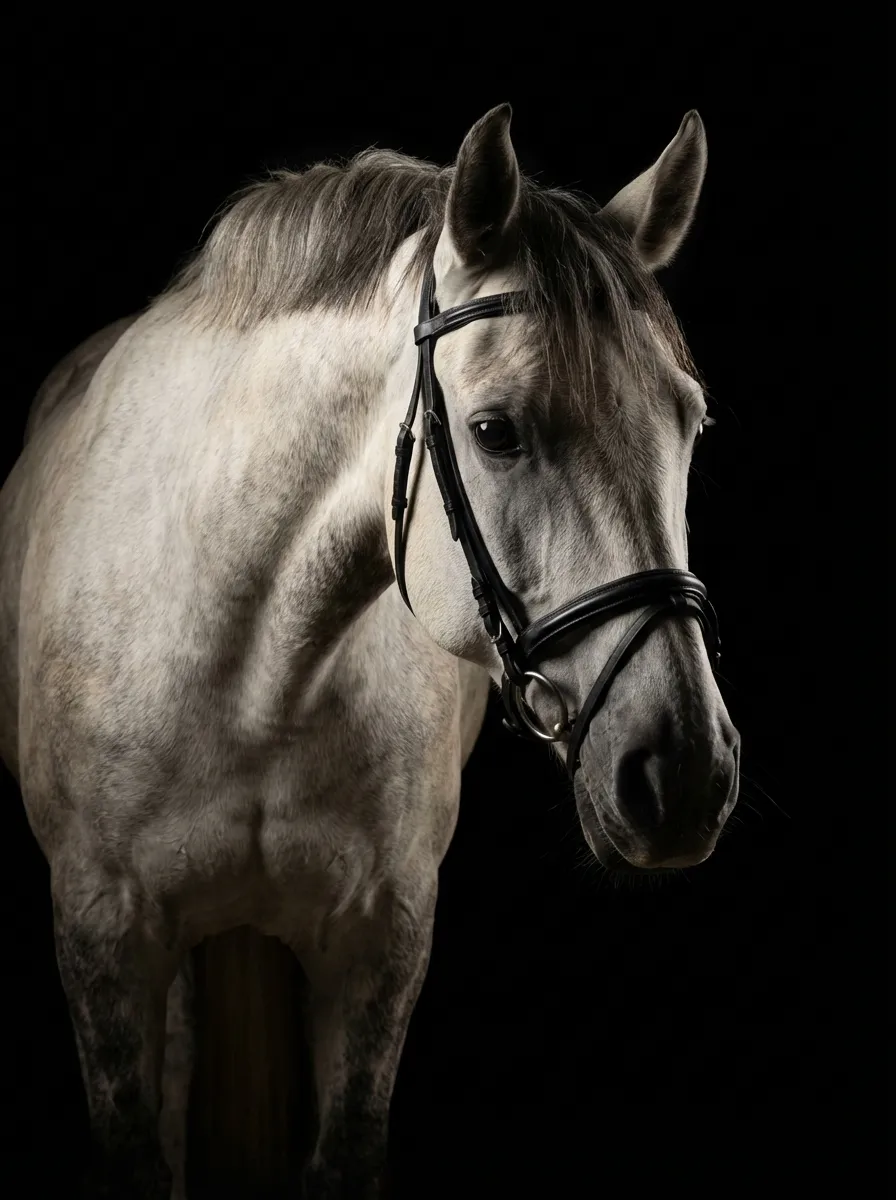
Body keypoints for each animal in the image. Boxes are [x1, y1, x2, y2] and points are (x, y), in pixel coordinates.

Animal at [0, 104, 740, 1198]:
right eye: (495, 430)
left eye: (689, 422)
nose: (685, 776)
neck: (256, 677)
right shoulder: (103, 933)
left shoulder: (380, 944)